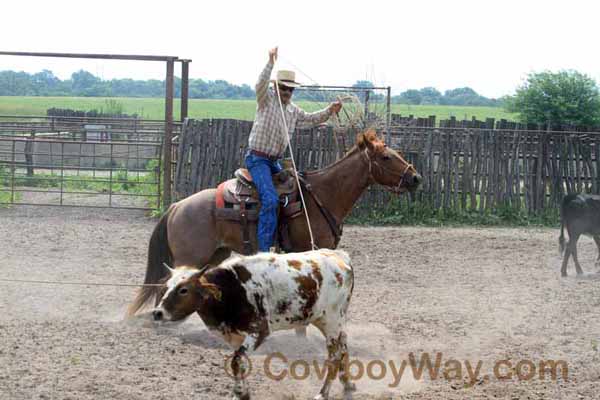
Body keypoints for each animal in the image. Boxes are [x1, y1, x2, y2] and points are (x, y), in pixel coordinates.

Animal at [127, 128, 422, 316]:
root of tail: (177, 206)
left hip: (215, 253)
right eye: (386, 157)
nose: (416, 177)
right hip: (191, 256)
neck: (322, 195)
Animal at [152, 248, 356, 398]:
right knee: (344, 346)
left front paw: (239, 393)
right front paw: (243, 392)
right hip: (329, 321)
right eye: (166, 287)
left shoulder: (259, 331)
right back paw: (348, 383)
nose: (157, 312)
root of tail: (339, 257)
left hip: (332, 321)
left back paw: (323, 393)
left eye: (183, 290)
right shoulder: (233, 335)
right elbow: (240, 362)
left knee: (334, 356)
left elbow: (237, 360)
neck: (231, 289)